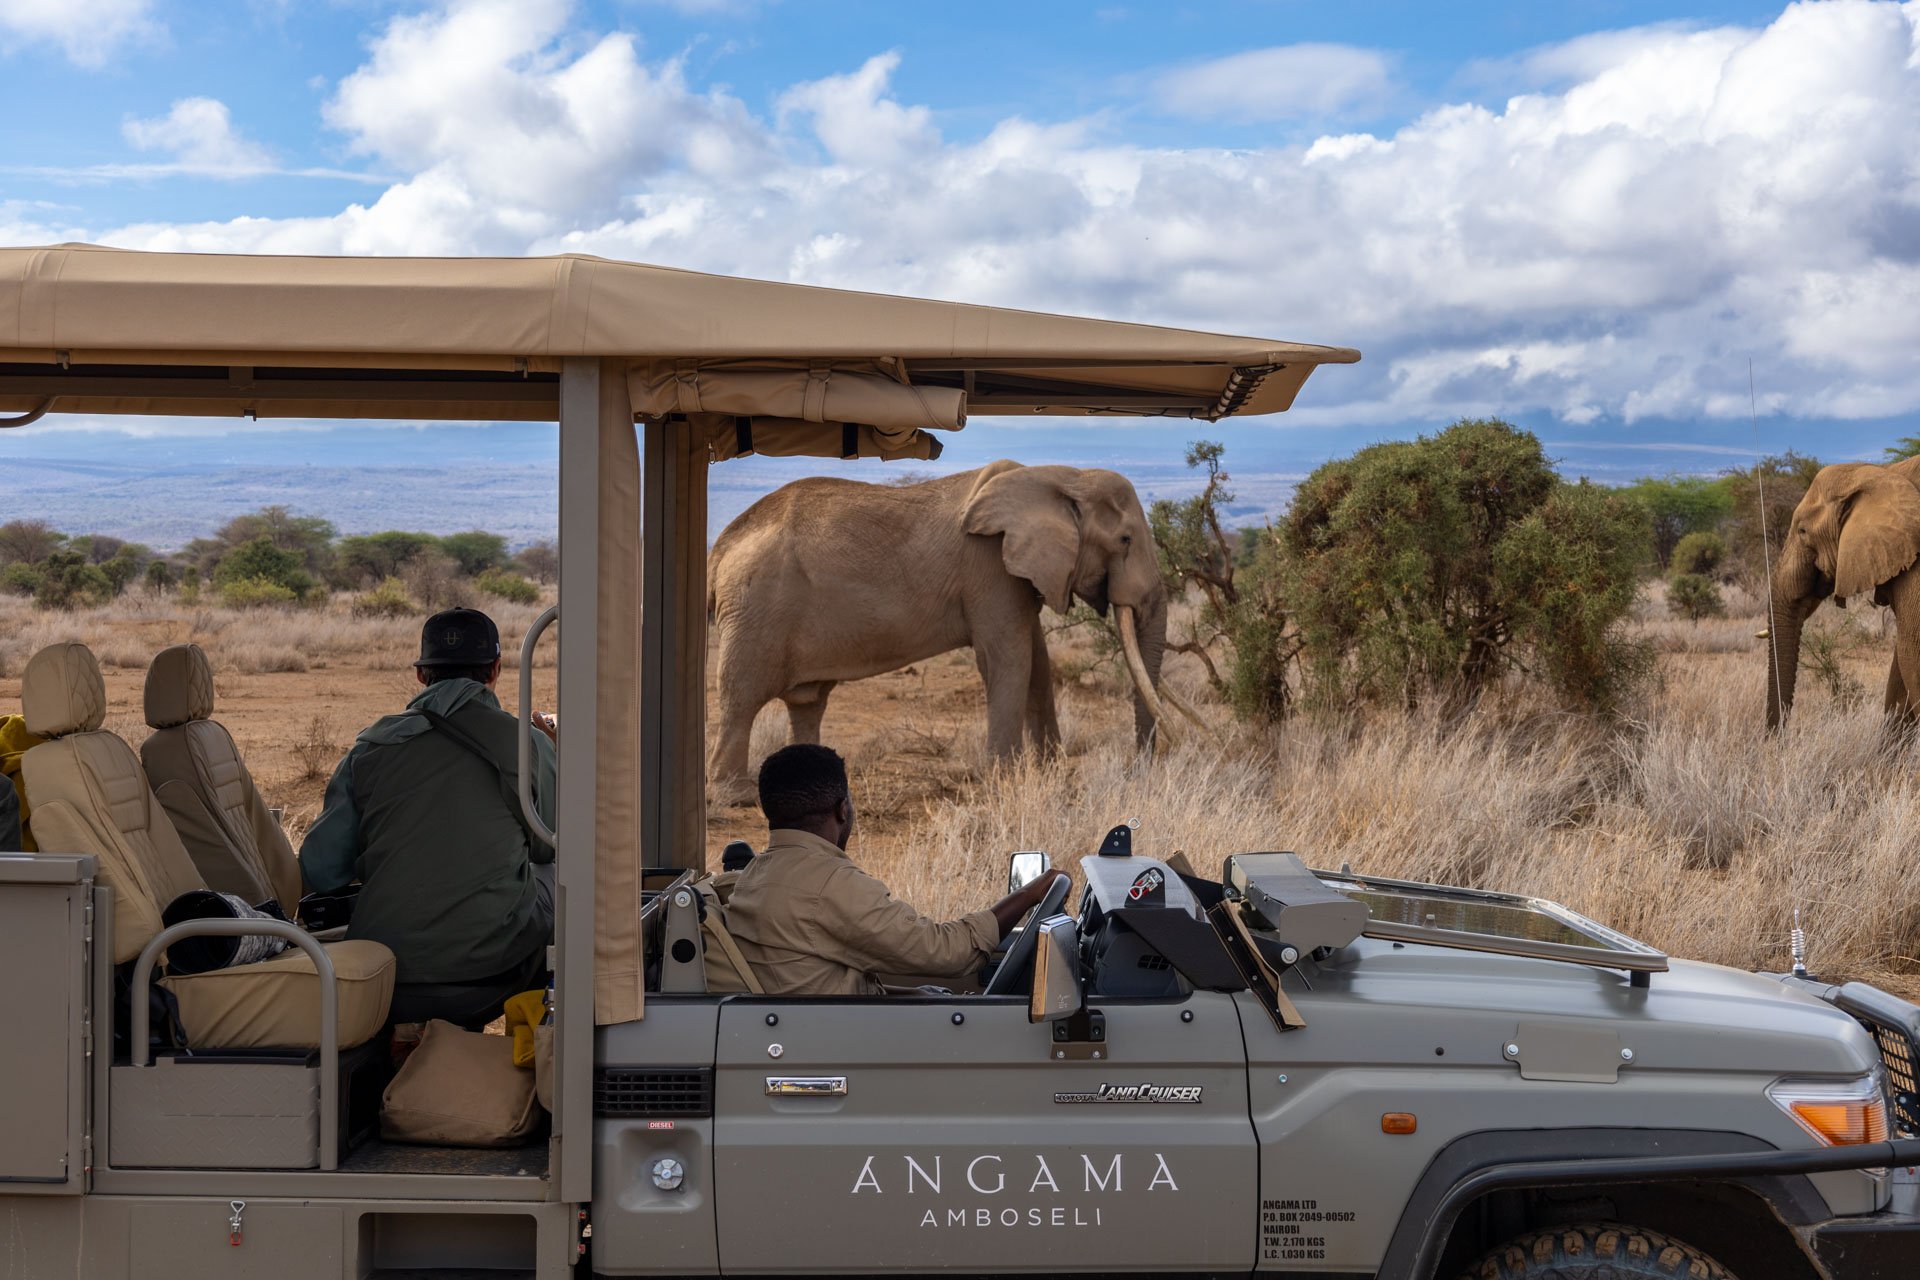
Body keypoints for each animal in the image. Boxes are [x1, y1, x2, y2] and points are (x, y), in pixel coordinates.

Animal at [706, 460, 1182, 790]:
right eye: (1125, 540)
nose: (1140, 768)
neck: (1064, 476)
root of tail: (722, 545)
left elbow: (1038, 660)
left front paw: (1049, 773)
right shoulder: (988, 567)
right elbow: (1009, 657)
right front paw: (1005, 780)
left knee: (807, 702)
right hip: (756, 608)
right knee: (742, 695)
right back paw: (735, 795)